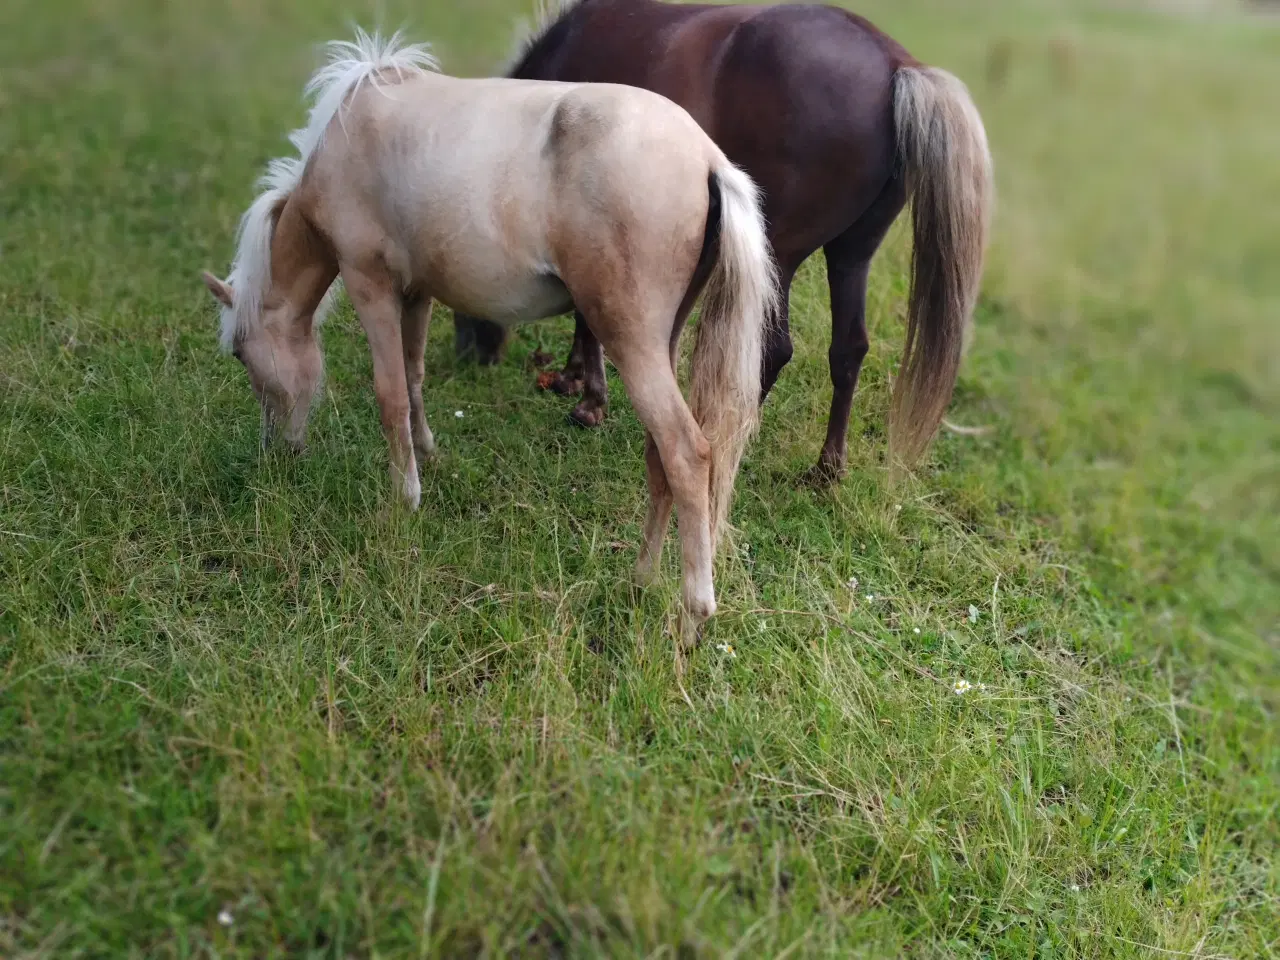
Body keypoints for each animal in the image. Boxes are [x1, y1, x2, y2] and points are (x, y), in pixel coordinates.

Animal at [200, 32, 778, 647]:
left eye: (240, 354)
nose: (277, 452)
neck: (348, 134)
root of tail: (708, 158)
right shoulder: (415, 294)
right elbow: (414, 376)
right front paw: (428, 456)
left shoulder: (369, 284)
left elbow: (390, 394)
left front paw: (403, 501)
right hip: (658, 347)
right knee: (659, 456)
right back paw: (641, 577)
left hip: (632, 345)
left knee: (687, 455)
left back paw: (692, 616)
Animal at [455, 0, 993, 481]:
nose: (470, 356)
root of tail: (897, 67)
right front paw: (573, 379)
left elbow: (591, 318)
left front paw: (589, 399)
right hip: (851, 253)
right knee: (848, 349)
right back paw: (825, 470)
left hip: (778, 252)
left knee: (772, 350)